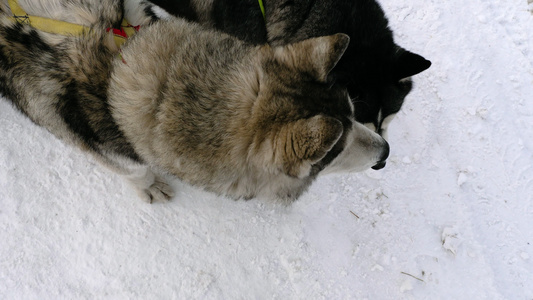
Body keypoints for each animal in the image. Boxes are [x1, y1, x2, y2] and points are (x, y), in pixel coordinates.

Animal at [0, 0, 386, 203]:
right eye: (332, 153)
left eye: (354, 113)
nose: (385, 152)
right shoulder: (77, 132)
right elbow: (133, 168)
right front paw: (149, 185)